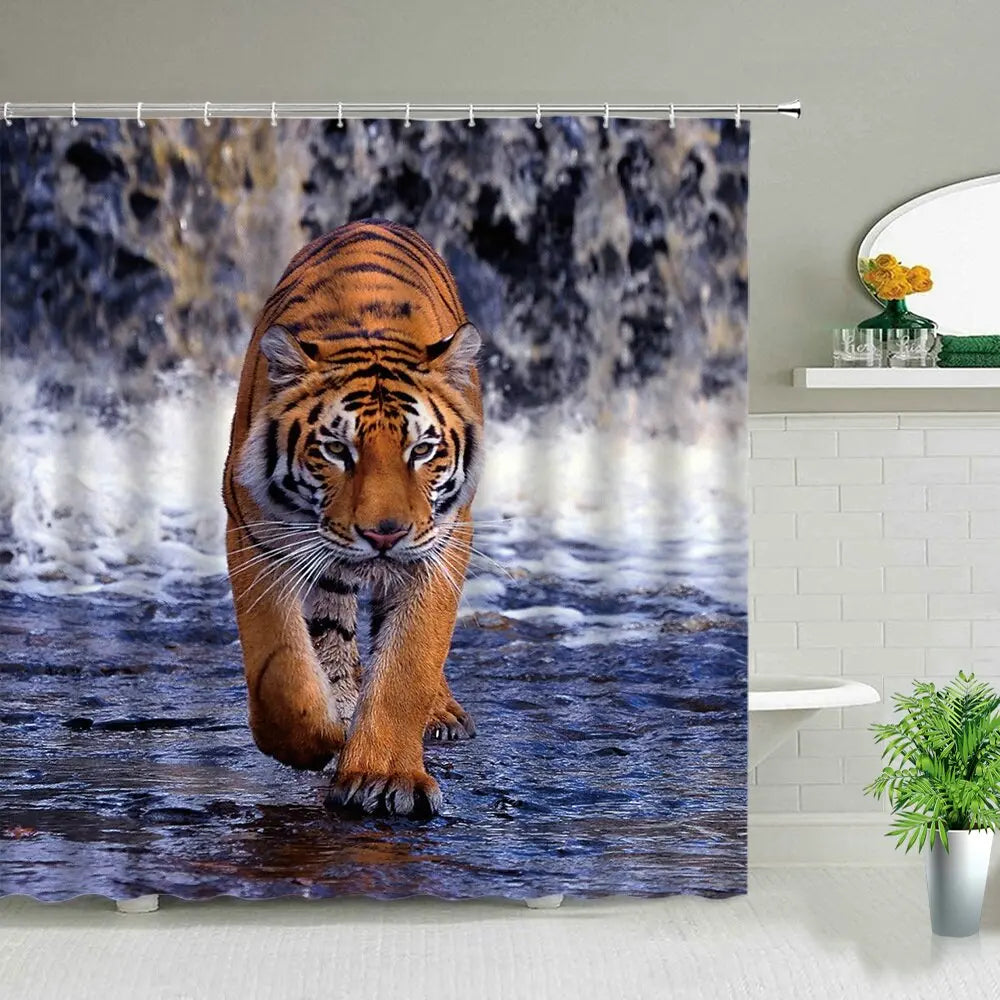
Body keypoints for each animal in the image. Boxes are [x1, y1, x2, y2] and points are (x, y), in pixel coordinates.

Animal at [222, 219, 484, 819]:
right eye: (337, 450)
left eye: (422, 450)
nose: (384, 534)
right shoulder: (254, 536)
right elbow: (281, 670)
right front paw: (317, 740)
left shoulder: (441, 544)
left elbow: (409, 661)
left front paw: (383, 775)